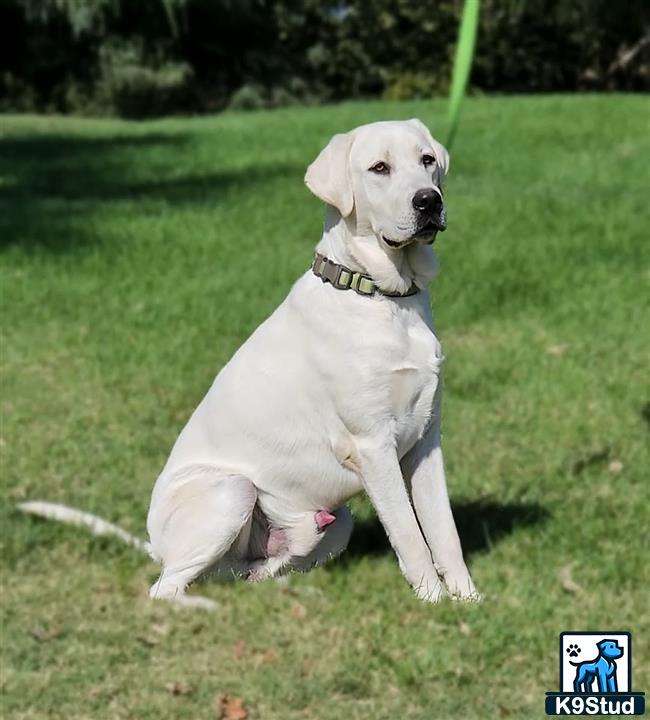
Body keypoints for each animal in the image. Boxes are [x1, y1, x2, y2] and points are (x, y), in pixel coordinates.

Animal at [20, 119, 476, 608]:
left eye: (426, 160)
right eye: (379, 168)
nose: (429, 200)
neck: (385, 297)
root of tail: (155, 544)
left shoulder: (426, 441)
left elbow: (444, 531)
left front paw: (470, 601)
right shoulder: (372, 445)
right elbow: (410, 536)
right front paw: (433, 603)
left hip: (336, 521)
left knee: (251, 572)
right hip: (232, 491)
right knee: (165, 586)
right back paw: (204, 608)